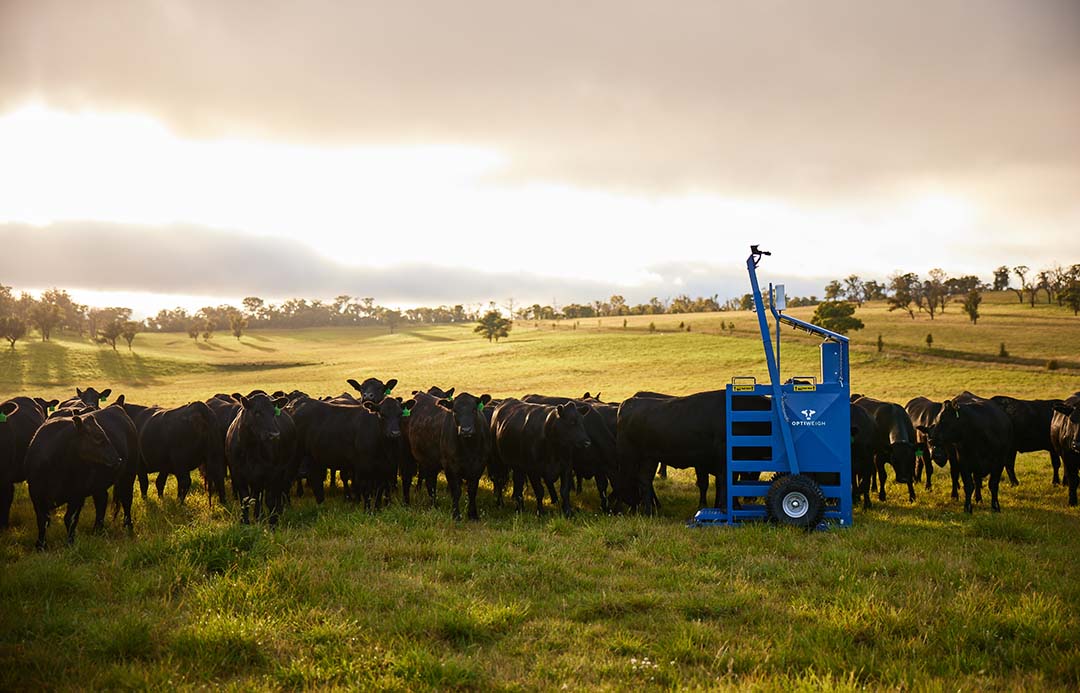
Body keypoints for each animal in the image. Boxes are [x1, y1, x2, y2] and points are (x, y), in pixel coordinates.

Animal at [25, 412, 122, 548]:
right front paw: (40, 545)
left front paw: (70, 543)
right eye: (98, 436)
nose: (118, 459)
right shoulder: (35, 494)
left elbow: (70, 519)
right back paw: (98, 530)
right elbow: (42, 520)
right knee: (102, 500)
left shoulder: (77, 495)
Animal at [226, 390, 295, 520]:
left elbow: (270, 499)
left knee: (277, 492)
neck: (250, 448)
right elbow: (245, 500)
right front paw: (245, 521)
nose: (274, 435)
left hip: (284, 469)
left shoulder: (272, 472)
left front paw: (273, 521)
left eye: (273, 413)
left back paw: (277, 511)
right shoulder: (238, 473)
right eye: (257, 413)